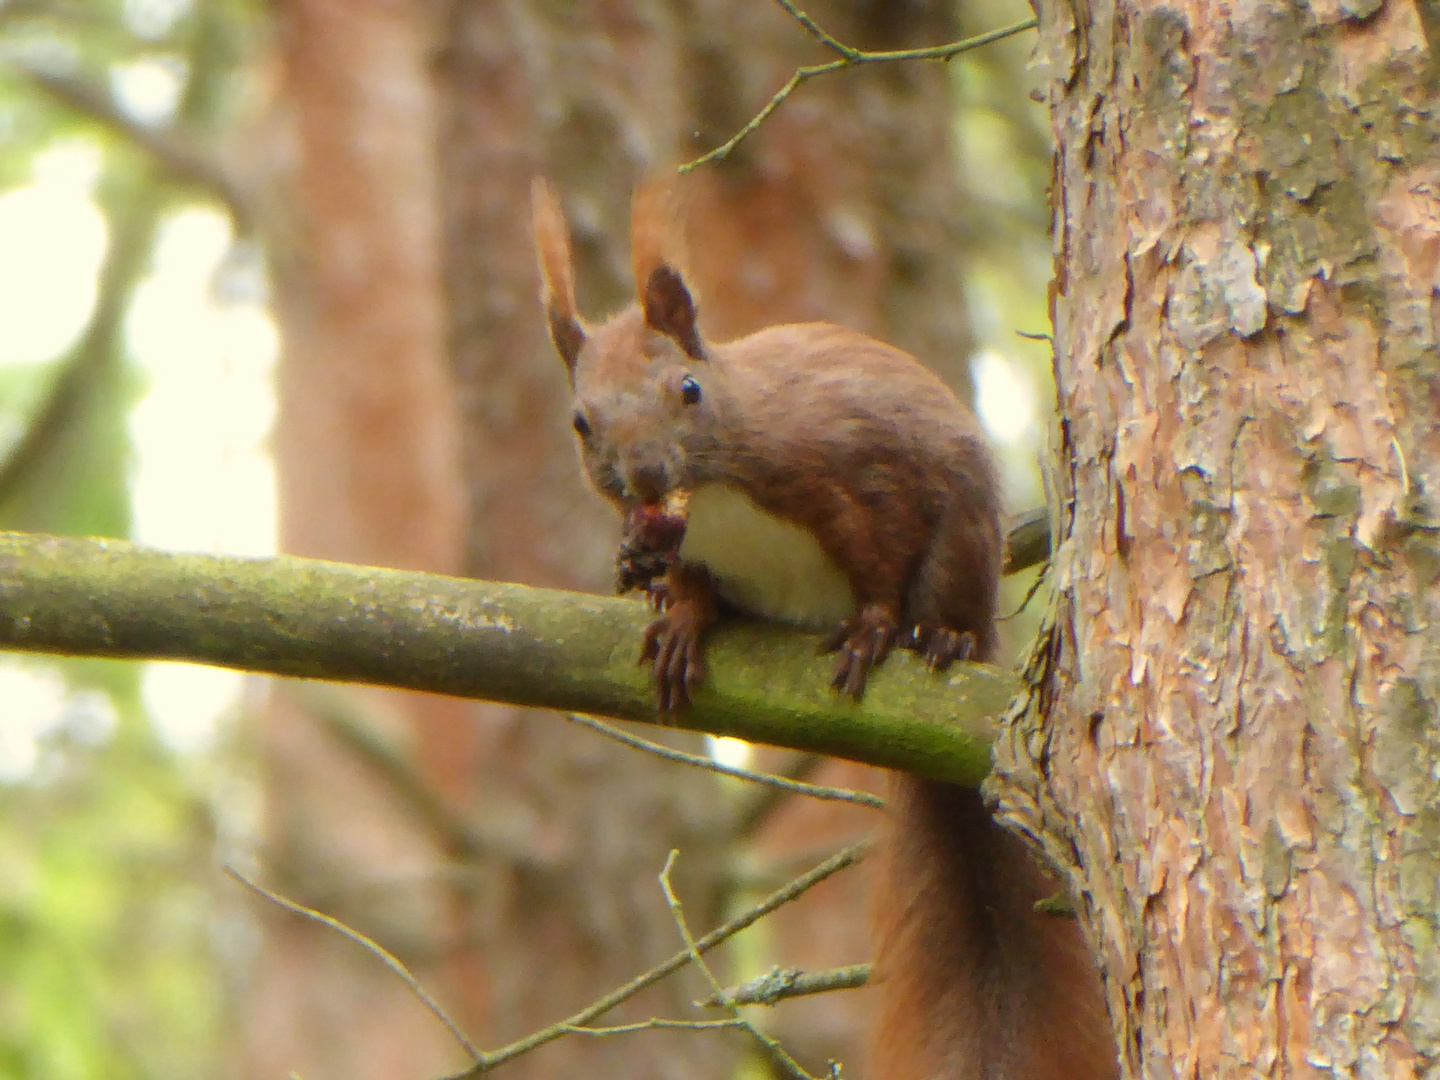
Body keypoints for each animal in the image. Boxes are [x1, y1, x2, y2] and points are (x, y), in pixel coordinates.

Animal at [529, 180, 1111, 1080]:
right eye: (581, 423)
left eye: (687, 390)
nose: (646, 477)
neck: (717, 493)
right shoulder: (686, 543)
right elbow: (689, 583)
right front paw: (680, 620)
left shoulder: (857, 479)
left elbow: (879, 565)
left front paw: (872, 631)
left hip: (963, 543)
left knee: (946, 597)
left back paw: (941, 640)